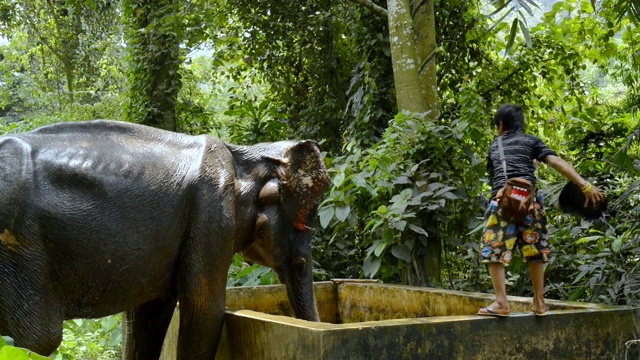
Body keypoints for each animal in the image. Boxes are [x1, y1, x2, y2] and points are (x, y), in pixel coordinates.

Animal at [0, 120, 330, 358]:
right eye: (302, 223)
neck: (246, 159)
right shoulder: (211, 211)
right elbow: (203, 310)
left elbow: (150, 314)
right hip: (20, 252)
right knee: (38, 339)